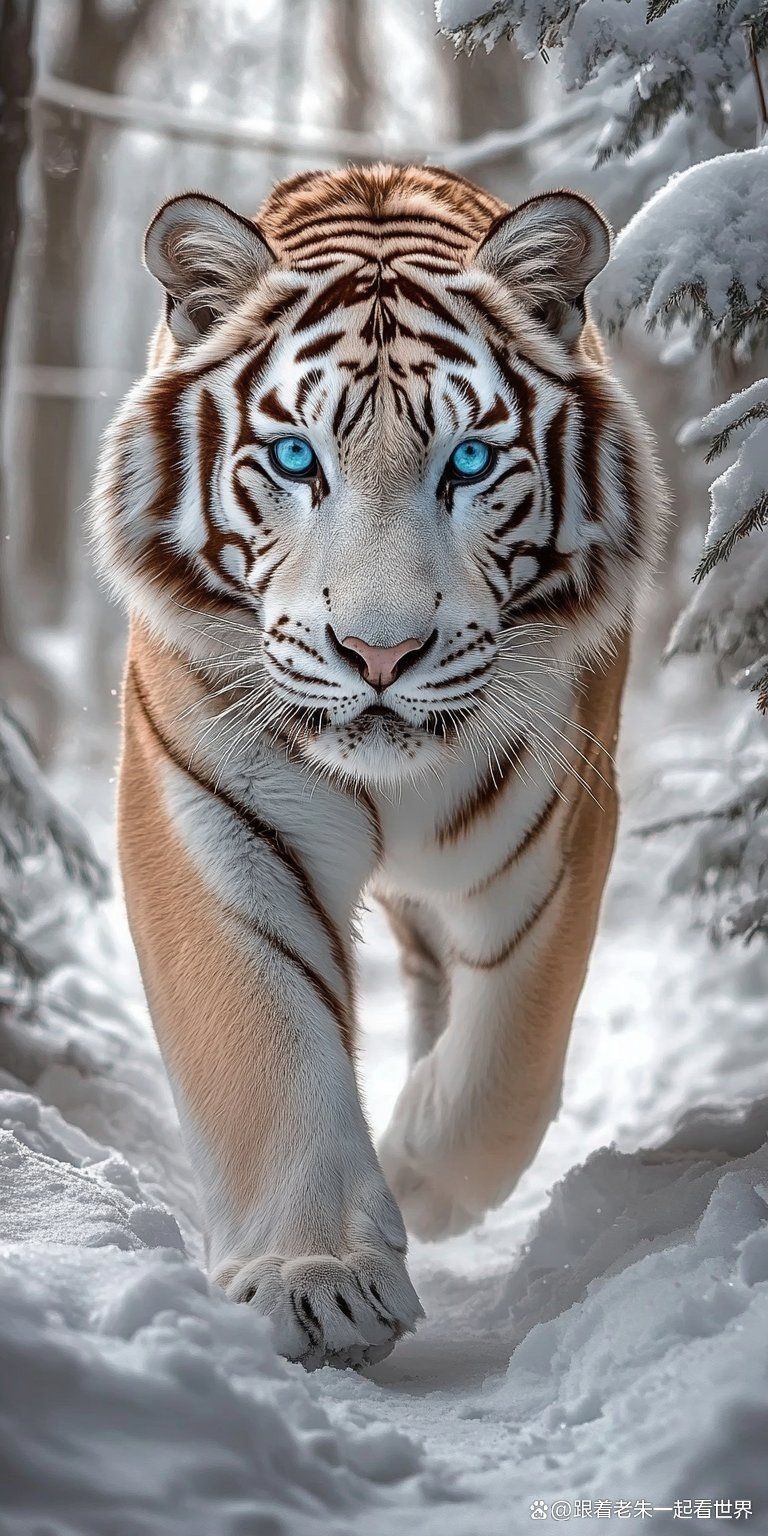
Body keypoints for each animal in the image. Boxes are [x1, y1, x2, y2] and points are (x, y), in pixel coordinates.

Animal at [92, 163, 665, 1370]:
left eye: (470, 461)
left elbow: (510, 1054)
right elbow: (263, 1032)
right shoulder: (209, 813)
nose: (382, 651)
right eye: (296, 458)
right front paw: (318, 1282)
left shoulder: (558, 825)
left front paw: (418, 1175)